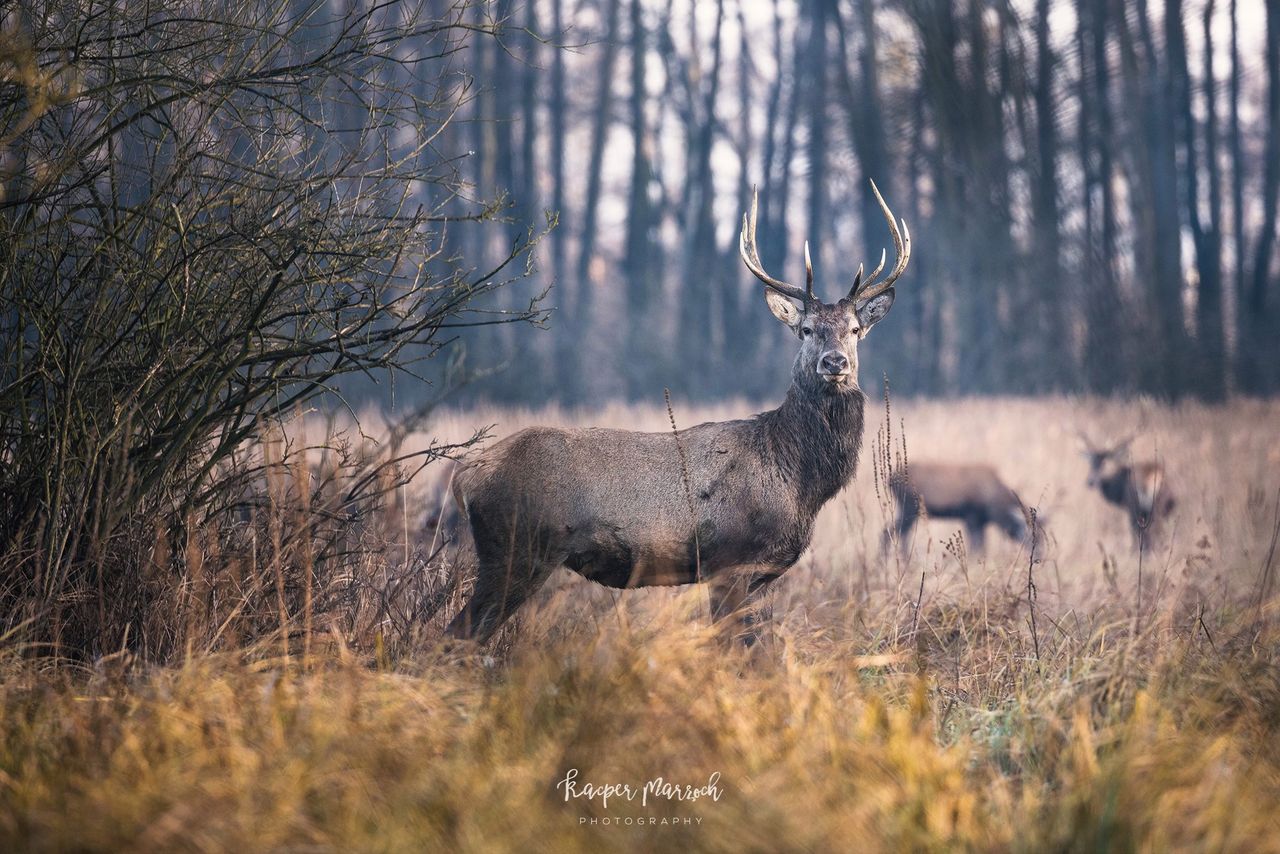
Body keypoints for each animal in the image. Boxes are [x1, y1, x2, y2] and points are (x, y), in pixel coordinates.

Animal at [440, 181, 911, 647]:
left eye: (855, 330)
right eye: (807, 330)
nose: (835, 362)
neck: (796, 479)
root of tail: (465, 475)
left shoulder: (762, 574)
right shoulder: (728, 561)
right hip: (516, 550)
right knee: (456, 635)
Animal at [885, 463, 1044, 550]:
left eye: (1041, 536)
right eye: (1027, 535)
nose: (1039, 557)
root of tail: (890, 479)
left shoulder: (980, 522)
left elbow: (981, 546)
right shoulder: (971, 517)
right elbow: (976, 546)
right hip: (908, 508)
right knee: (888, 532)